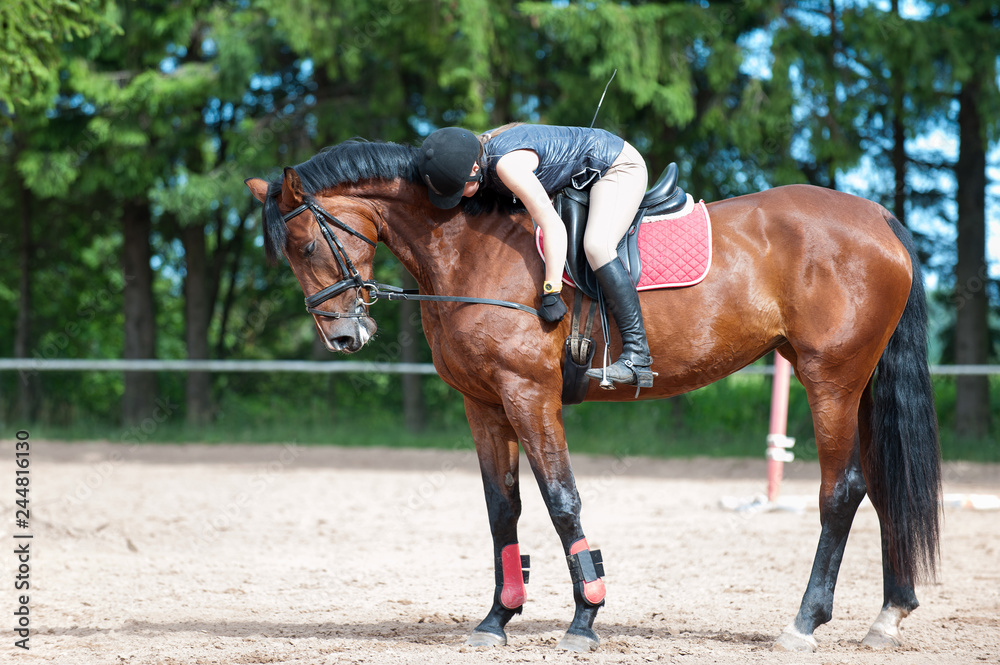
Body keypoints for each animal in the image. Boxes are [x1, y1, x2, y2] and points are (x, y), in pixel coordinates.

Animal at [244, 139, 941, 653]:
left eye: (303, 244)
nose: (343, 336)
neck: (466, 248)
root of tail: (876, 216)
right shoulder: (484, 405)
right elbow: (503, 510)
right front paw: (496, 619)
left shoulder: (529, 395)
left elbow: (561, 501)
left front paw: (584, 619)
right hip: (856, 382)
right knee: (883, 485)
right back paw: (889, 616)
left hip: (831, 380)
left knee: (842, 490)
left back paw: (803, 624)